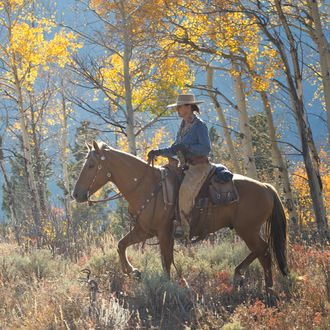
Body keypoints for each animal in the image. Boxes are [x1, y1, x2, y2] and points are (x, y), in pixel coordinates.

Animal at [73, 141, 288, 300]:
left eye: (91, 165)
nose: (76, 194)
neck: (147, 186)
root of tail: (266, 187)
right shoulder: (144, 230)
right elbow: (121, 245)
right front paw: (133, 271)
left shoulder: (164, 233)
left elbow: (166, 261)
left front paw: (167, 286)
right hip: (248, 230)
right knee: (262, 251)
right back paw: (248, 279)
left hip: (247, 230)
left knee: (264, 251)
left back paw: (262, 287)